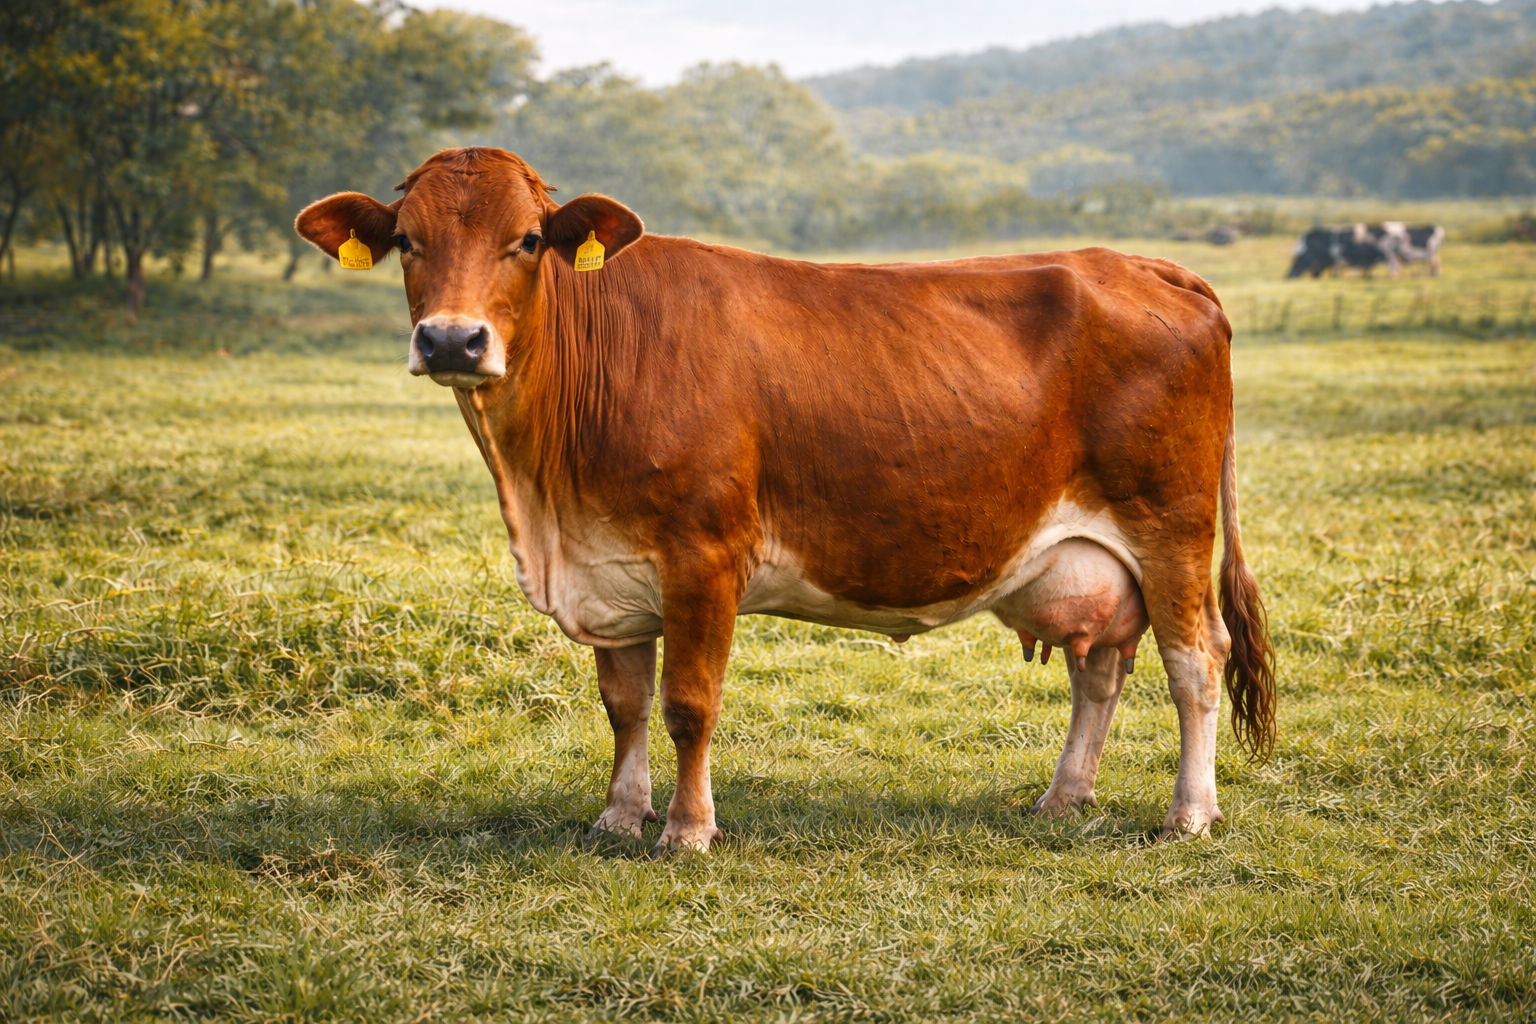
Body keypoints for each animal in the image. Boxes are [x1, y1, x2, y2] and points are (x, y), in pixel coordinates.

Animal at [295, 147, 1275, 853]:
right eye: (408, 240)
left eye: (529, 239)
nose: (452, 340)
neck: (545, 502)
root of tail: (1147, 265)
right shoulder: (610, 570)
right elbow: (624, 704)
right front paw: (618, 815)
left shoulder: (702, 555)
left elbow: (689, 702)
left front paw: (687, 830)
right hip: (1092, 555)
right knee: (1101, 667)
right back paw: (1064, 796)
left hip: (1170, 525)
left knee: (1196, 661)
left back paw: (1190, 814)